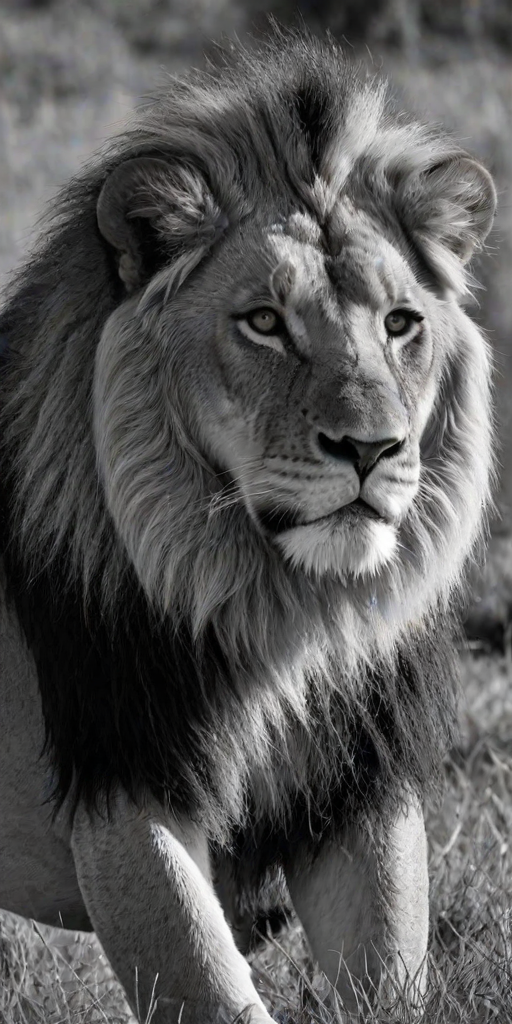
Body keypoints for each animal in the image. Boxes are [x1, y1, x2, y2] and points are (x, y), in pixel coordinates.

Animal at [0, 30, 496, 1024]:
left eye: (401, 323)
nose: (370, 448)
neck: (283, 618)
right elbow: (211, 987)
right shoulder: (125, 788)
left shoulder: (362, 790)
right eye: (265, 322)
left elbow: (387, 981)